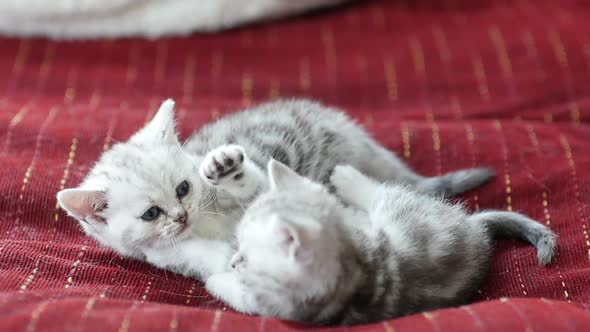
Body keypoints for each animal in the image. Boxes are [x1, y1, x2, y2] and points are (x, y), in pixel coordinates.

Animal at [59, 98, 494, 280]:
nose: (181, 215)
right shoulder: (165, 255)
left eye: (183, 188)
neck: (205, 224)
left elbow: (253, 181)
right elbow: (201, 257)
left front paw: (227, 167)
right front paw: (230, 259)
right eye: (151, 213)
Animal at [207, 160, 560, 326]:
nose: (234, 262)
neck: (358, 264)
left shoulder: (279, 307)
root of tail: (476, 230)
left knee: (381, 192)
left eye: (246, 259)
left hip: (401, 208)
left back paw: (346, 176)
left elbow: (239, 295)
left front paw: (217, 278)